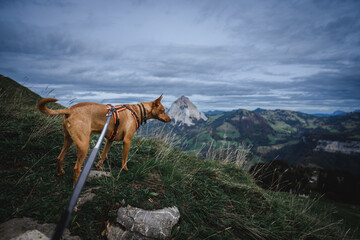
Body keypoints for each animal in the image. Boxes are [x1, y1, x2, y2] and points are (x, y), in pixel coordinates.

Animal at [38, 95, 171, 186]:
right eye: (163, 110)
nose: (170, 119)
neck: (138, 110)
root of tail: (70, 110)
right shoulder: (127, 140)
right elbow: (124, 158)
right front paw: (125, 169)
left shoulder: (109, 139)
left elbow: (103, 154)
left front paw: (99, 167)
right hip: (84, 145)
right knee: (76, 168)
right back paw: (75, 187)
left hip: (68, 140)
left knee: (59, 157)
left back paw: (60, 172)